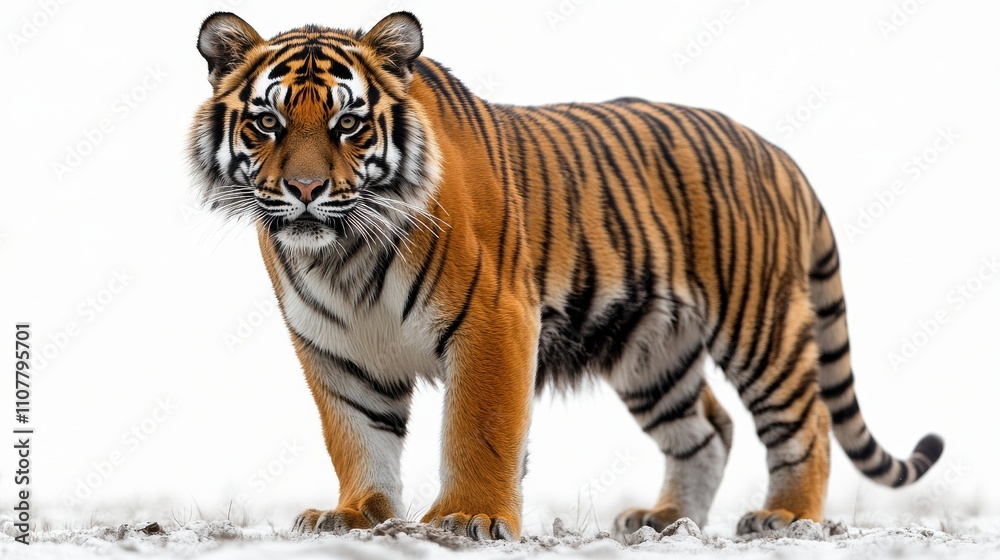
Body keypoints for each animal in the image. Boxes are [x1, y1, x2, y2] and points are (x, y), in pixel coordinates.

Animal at [188, 11, 944, 541]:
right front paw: (357, 515)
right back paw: (666, 521)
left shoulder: (493, 319)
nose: (305, 189)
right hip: (652, 351)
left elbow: (478, 429)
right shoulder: (334, 347)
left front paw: (467, 518)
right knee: (708, 430)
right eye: (267, 122)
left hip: (759, 325)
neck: (342, 253)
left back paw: (786, 518)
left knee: (804, 422)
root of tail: (777, 151)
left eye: (348, 124)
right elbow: (356, 437)